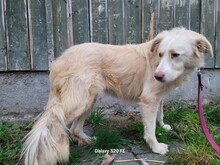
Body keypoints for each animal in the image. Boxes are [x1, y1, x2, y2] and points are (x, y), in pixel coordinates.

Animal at [21, 27, 212, 164]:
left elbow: (160, 113)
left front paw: (163, 126)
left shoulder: (158, 96)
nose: (157, 76)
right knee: (48, 125)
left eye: (175, 55)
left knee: (74, 128)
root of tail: (58, 60)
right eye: (161, 54)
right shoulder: (149, 98)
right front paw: (156, 147)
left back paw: (87, 140)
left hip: (89, 100)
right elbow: (150, 129)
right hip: (78, 103)